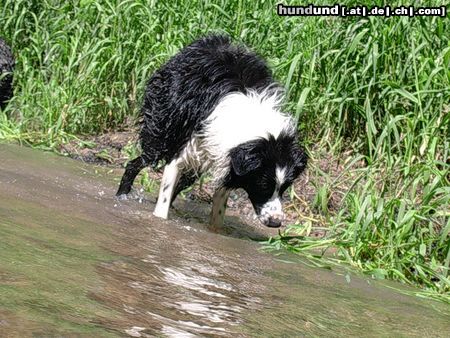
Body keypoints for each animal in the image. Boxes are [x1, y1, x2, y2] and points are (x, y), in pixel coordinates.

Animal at [115, 35, 310, 227]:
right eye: (262, 186)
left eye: (285, 188)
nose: (275, 223)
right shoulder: (187, 149)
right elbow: (164, 197)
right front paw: (159, 221)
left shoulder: (227, 162)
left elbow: (218, 211)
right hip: (163, 133)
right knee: (136, 163)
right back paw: (121, 196)